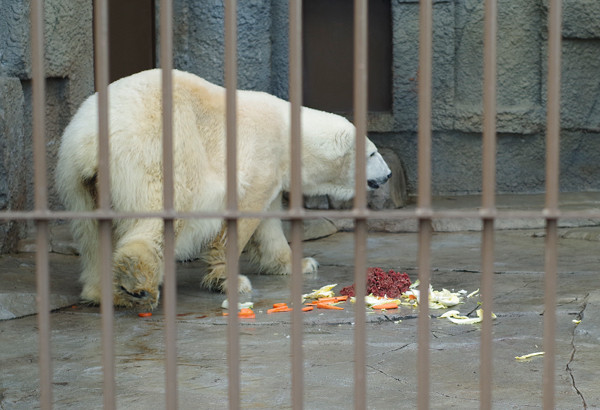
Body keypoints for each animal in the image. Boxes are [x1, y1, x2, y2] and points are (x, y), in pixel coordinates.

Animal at [56, 69, 392, 308]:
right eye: (373, 153)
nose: (388, 175)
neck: (290, 135)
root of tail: (88, 142)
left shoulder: (273, 169)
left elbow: (269, 223)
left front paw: (301, 262)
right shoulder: (262, 154)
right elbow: (243, 216)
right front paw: (230, 280)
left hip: (80, 184)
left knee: (93, 236)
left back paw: (105, 291)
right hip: (156, 152)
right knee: (164, 211)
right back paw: (138, 282)